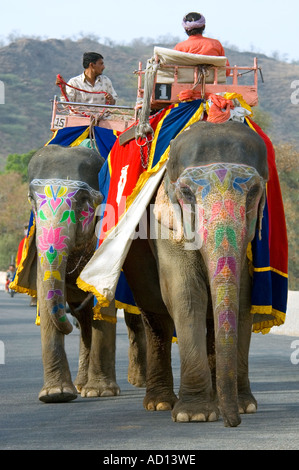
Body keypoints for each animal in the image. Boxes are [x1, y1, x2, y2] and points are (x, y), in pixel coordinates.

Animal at [26, 145, 146, 402]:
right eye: (32, 199)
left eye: (83, 201)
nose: (67, 327)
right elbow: (45, 291)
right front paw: (55, 394)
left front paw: (100, 392)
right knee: (85, 322)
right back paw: (81, 385)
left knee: (136, 316)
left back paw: (138, 381)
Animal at [122, 120, 270, 426]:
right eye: (187, 194)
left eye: (252, 192)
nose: (233, 423)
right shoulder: (164, 223)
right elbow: (186, 293)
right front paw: (195, 414)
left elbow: (243, 298)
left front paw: (245, 406)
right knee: (156, 315)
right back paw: (160, 403)